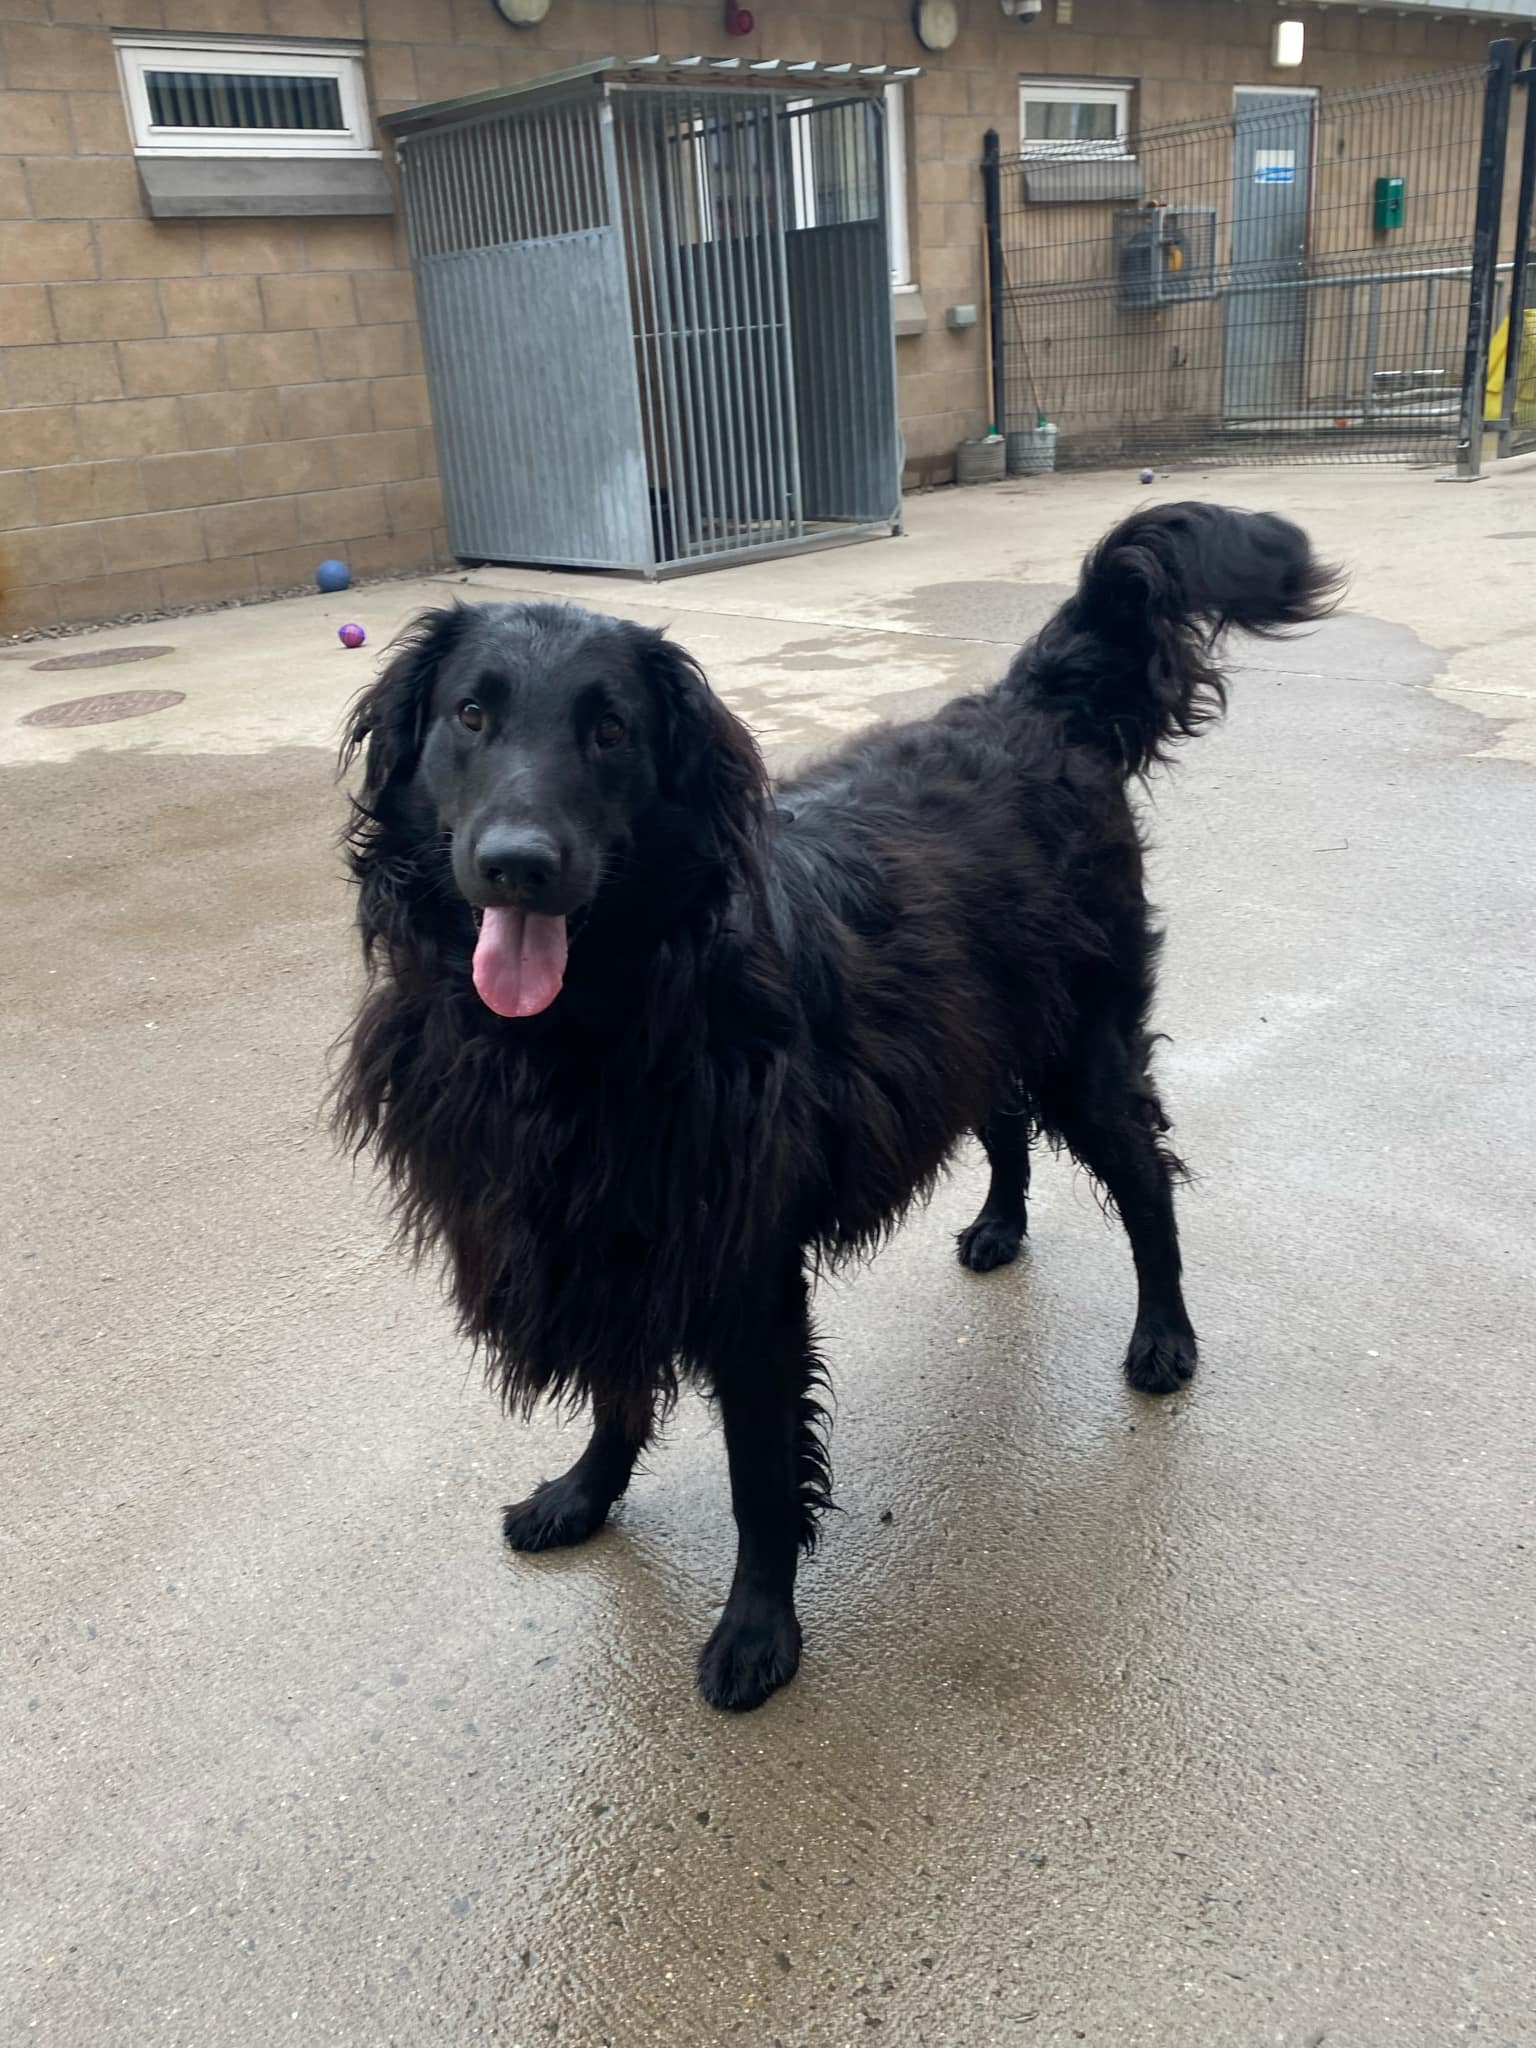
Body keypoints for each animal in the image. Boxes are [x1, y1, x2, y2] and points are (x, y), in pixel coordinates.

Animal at [335, 499, 1335, 1712]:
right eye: (471, 714)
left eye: (611, 730)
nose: (516, 864)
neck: (593, 1021)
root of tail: (1028, 705)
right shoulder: (603, 1235)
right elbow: (617, 1393)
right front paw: (585, 1493)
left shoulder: (745, 1268)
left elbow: (762, 1475)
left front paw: (758, 1630)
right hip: (976, 1030)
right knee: (1003, 1124)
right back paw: (999, 1226)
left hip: (1083, 1051)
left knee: (1147, 1184)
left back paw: (1165, 1335)